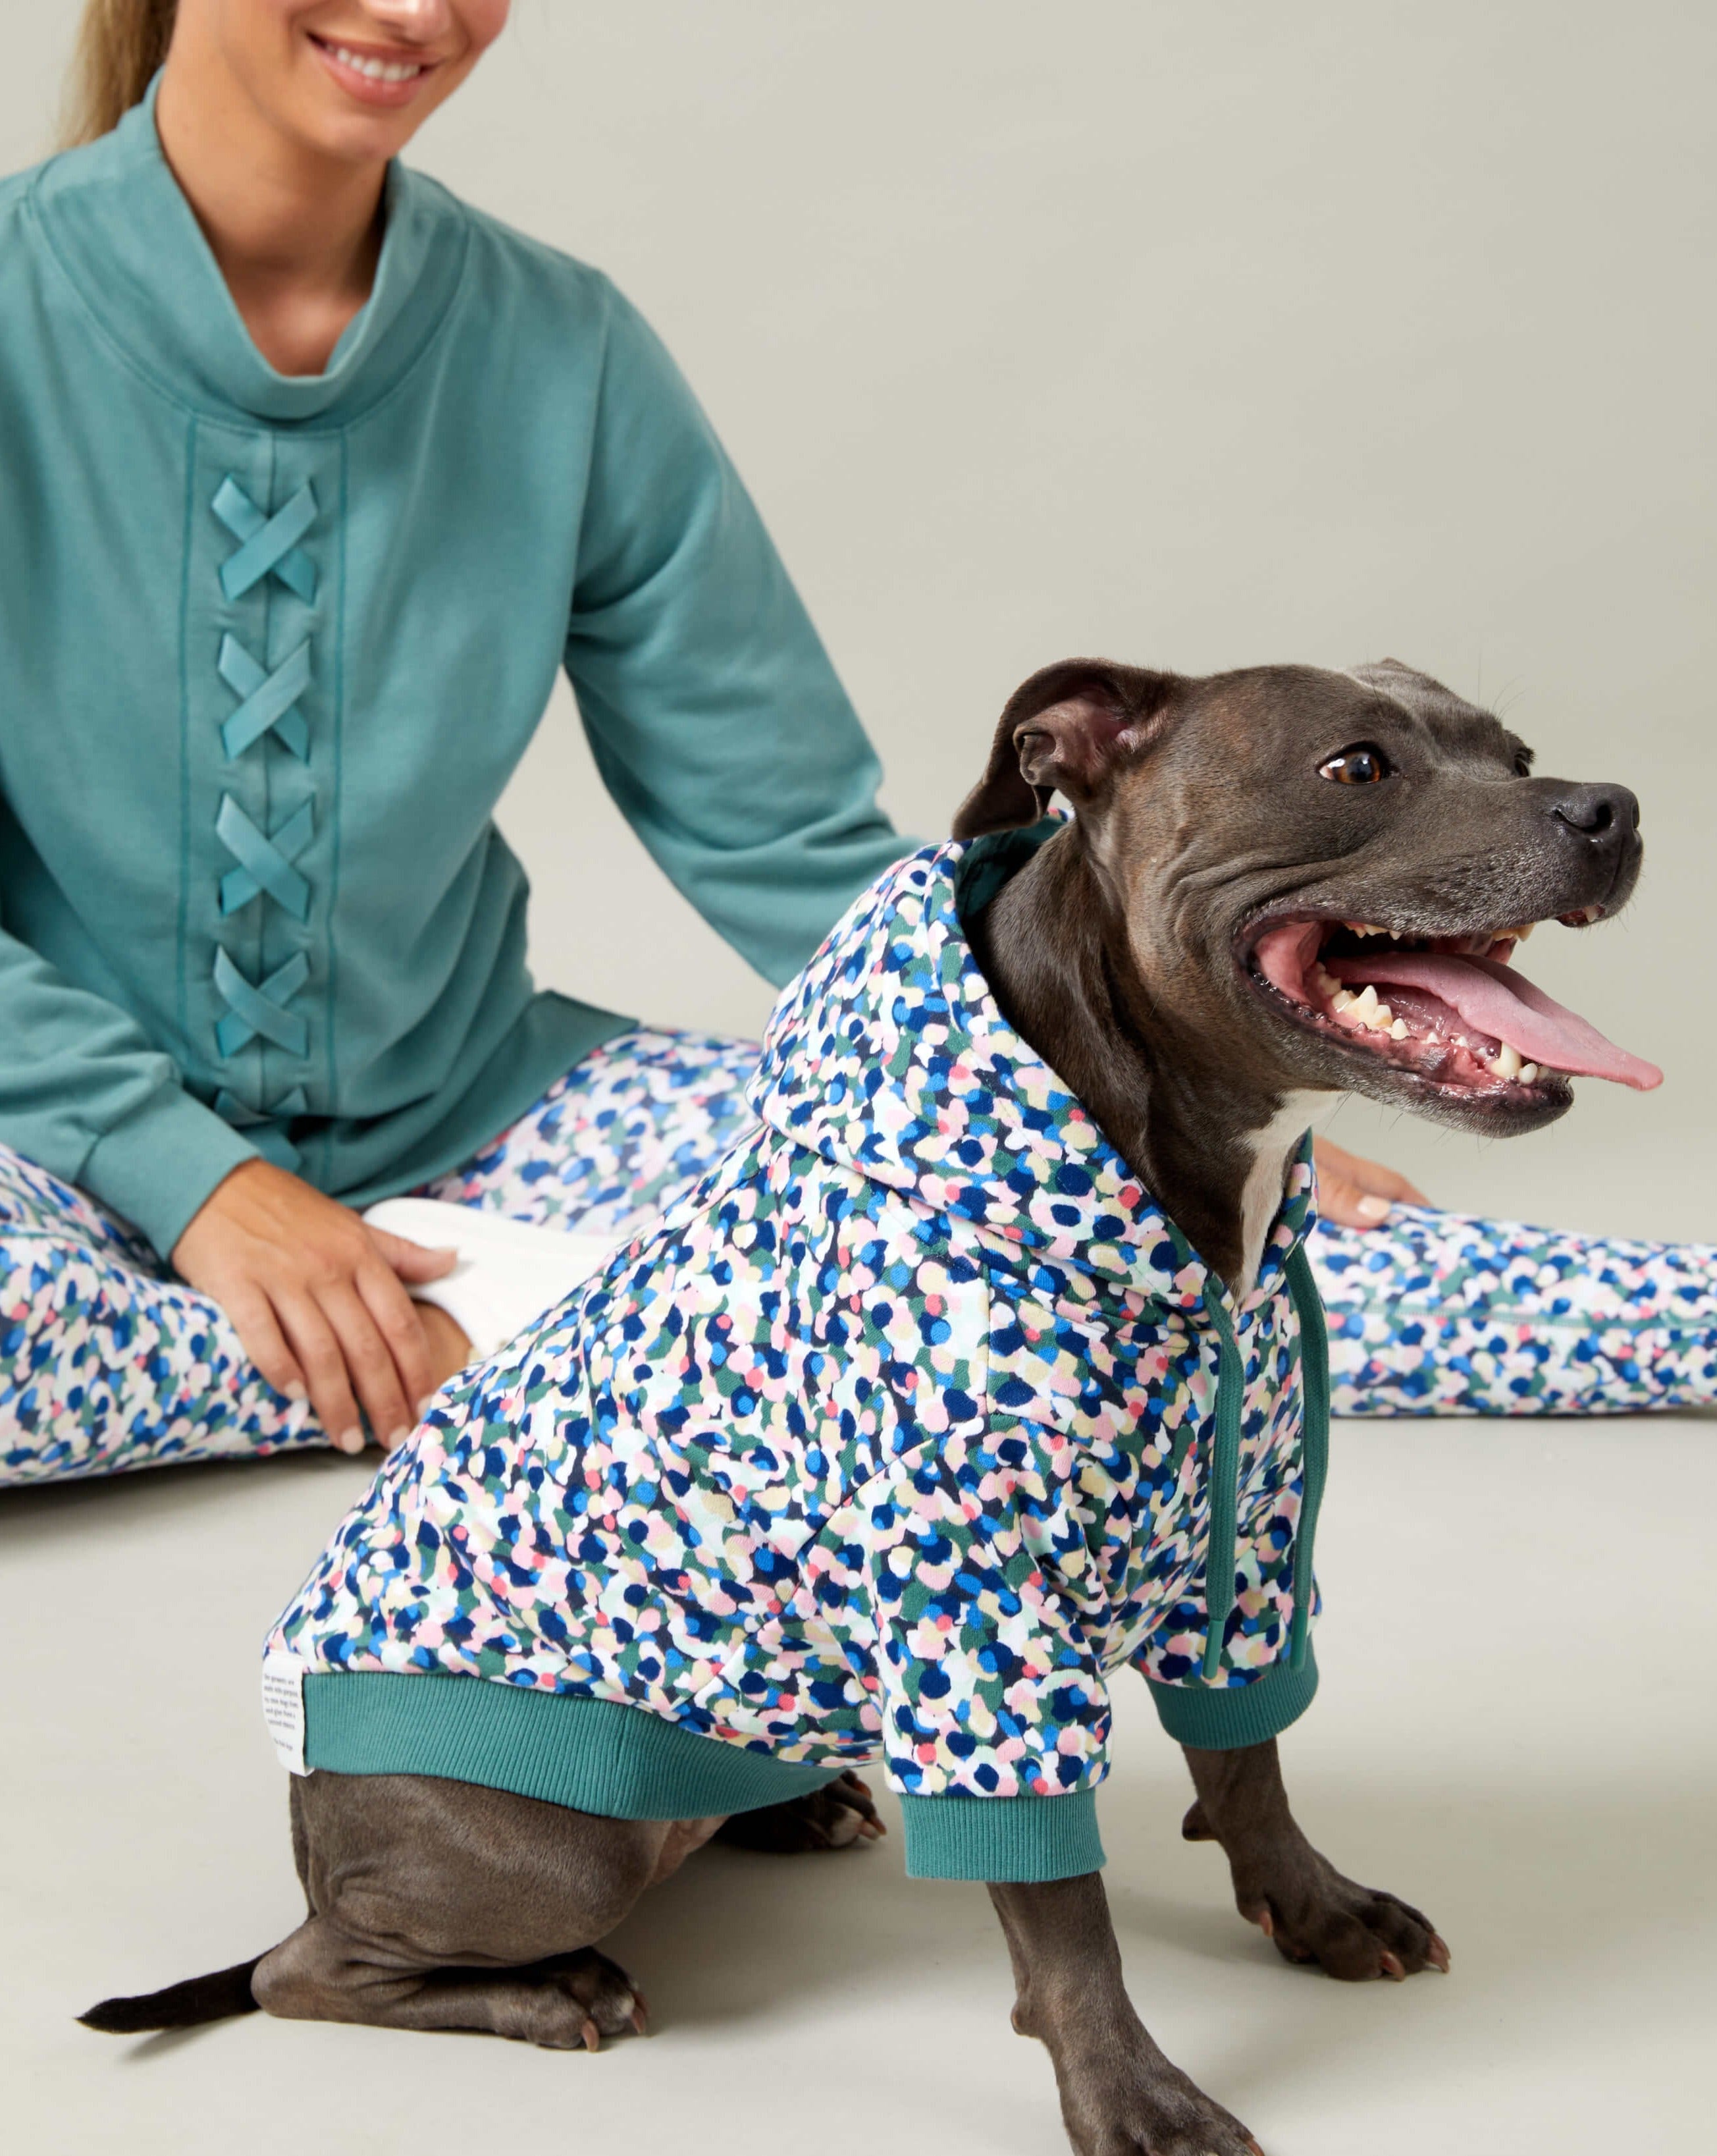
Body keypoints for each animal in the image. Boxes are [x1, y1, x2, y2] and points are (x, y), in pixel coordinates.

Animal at [87, 659, 1654, 2156]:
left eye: (1511, 753)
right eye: (1355, 766)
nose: (1610, 805)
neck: (1185, 1211)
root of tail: (310, 1807)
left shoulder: (1252, 1551)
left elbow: (1249, 1759)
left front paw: (1318, 1908)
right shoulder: (979, 1622)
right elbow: (1064, 1908)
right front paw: (1131, 2096)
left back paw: (787, 1802)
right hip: (553, 1847)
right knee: (306, 1971)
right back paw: (546, 1989)